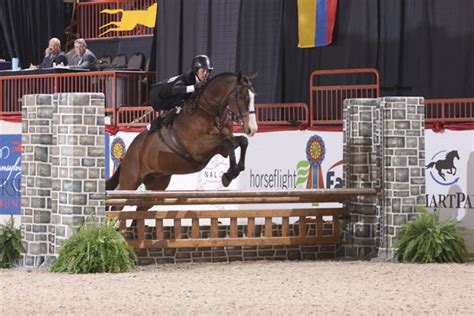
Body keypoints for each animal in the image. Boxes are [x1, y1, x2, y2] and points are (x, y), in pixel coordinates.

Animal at [106, 72, 260, 205]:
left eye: (253, 97)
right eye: (242, 96)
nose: (252, 129)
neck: (209, 111)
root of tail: (129, 152)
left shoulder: (222, 146)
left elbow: (241, 141)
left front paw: (232, 173)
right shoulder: (198, 148)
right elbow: (227, 142)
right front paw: (228, 175)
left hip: (157, 185)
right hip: (129, 182)